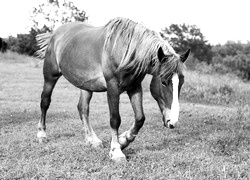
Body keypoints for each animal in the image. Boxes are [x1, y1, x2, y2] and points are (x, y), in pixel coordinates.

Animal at [36, 17, 190, 162]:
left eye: (181, 82)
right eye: (163, 82)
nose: (172, 122)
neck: (125, 51)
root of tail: (55, 34)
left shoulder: (134, 87)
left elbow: (140, 118)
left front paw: (123, 141)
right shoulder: (112, 88)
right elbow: (115, 119)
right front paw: (116, 151)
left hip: (85, 85)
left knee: (83, 108)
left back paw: (92, 140)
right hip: (50, 76)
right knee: (45, 102)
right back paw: (41, 134)